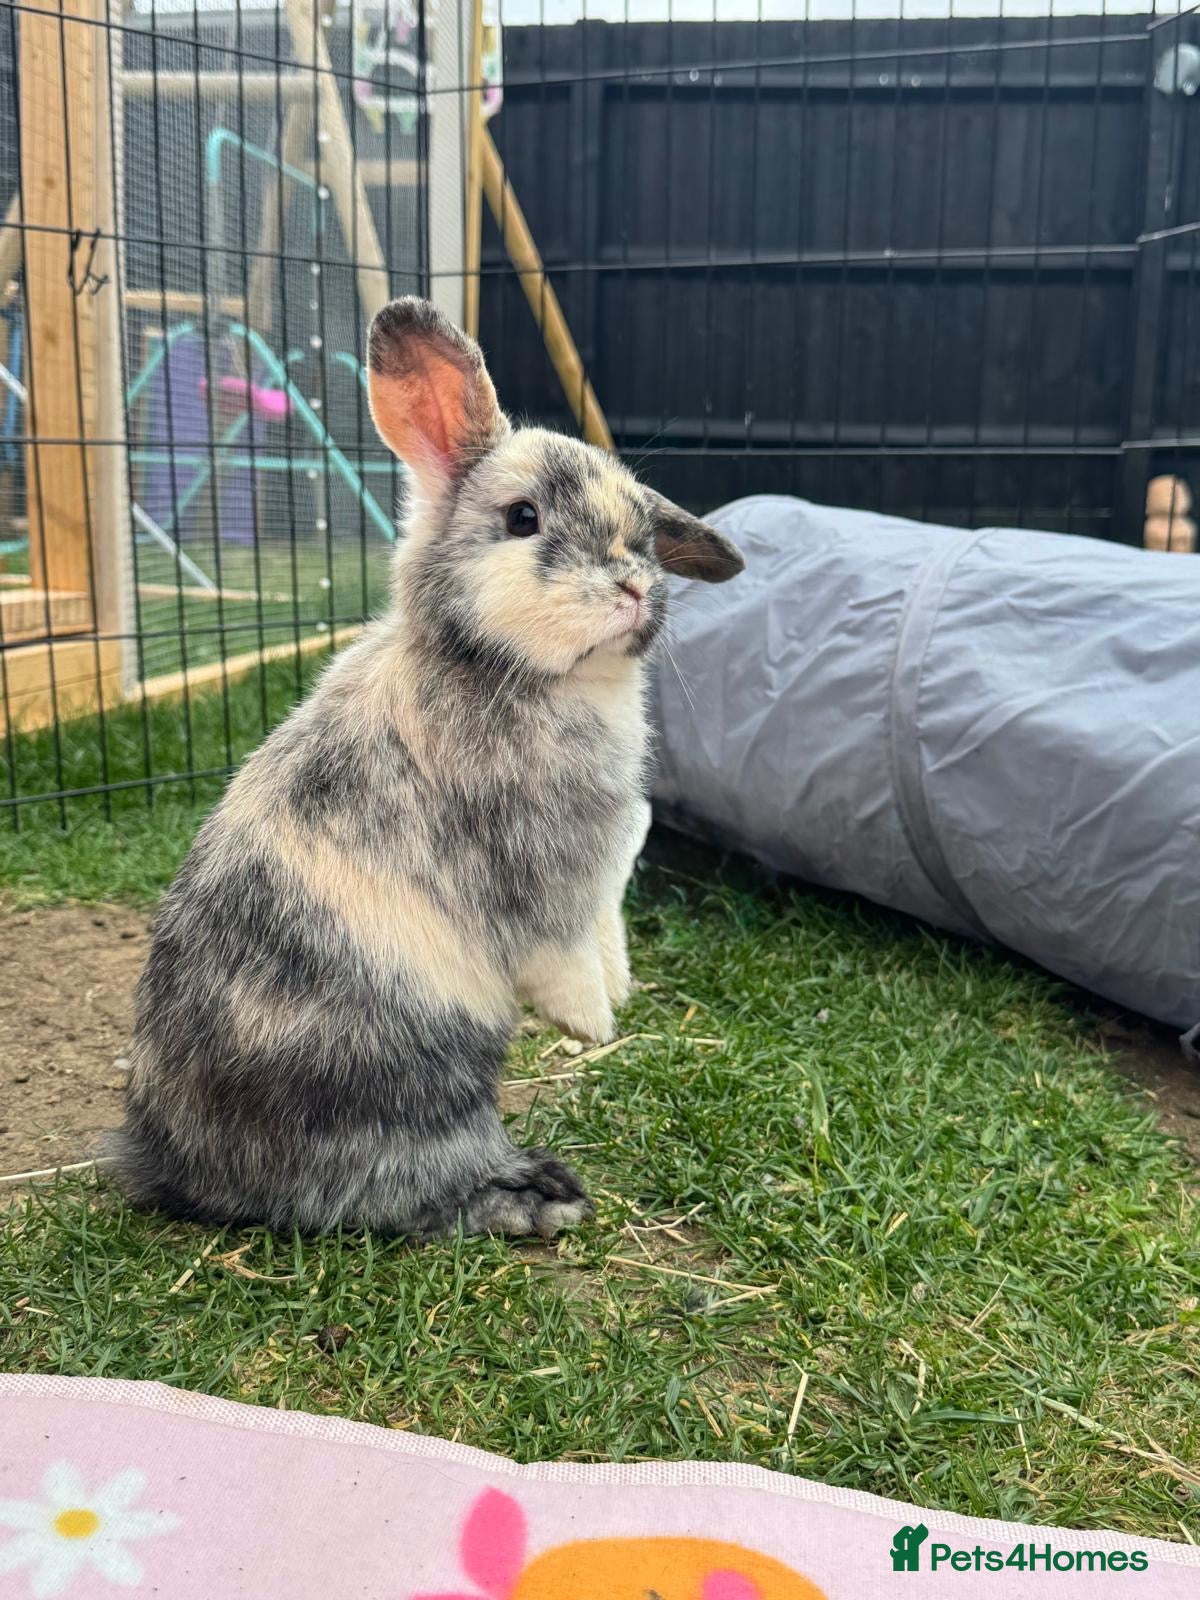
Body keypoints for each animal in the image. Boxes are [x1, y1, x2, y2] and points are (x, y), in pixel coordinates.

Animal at [104, 297, 744, 1240]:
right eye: (523, 519)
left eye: (642, 531)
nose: (634, 586)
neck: (509, 672)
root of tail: (173, 1159)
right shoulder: (548, 875)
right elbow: (565, 953)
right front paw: (593, 1025)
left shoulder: (604, 873)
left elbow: (610, 929)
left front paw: (619, 996)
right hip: (422, 1074)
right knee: (395, 1187)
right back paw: (539, 1197)